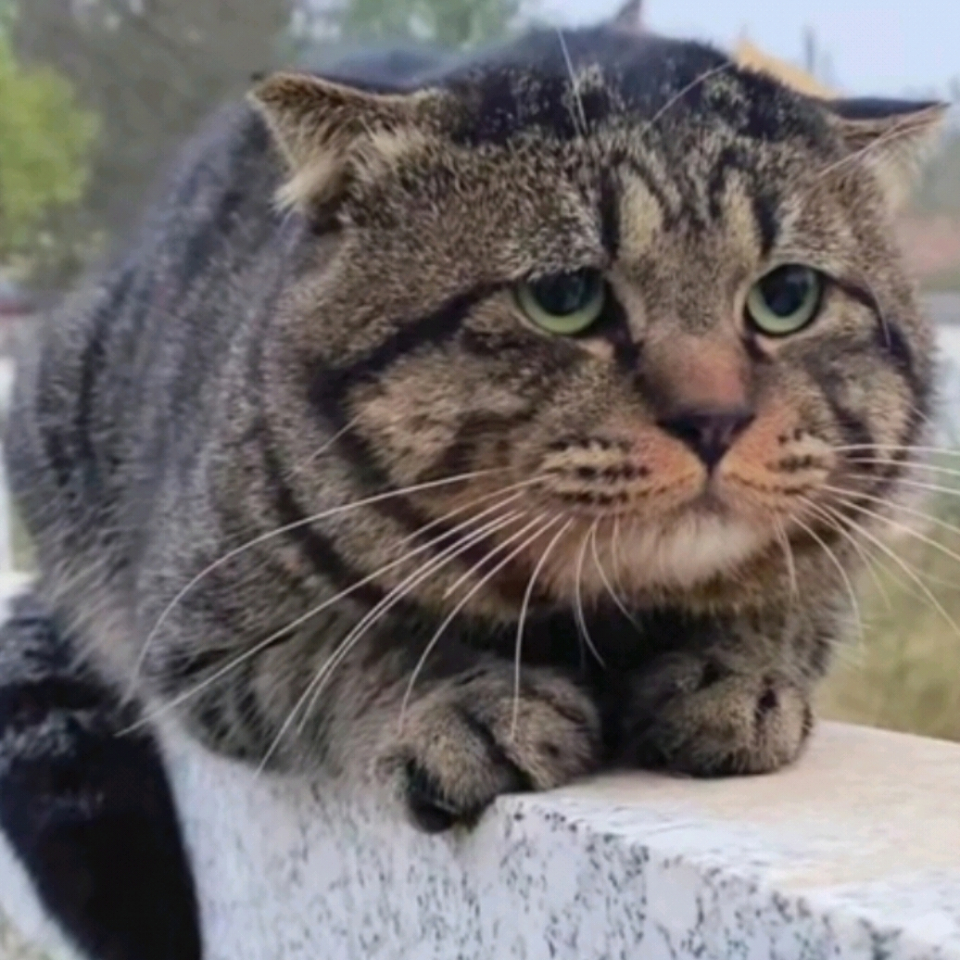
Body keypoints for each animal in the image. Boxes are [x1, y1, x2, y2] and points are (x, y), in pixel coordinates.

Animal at [0, 10, 944, 959]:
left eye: (787, 296)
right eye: (565, 296)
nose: (713, 420)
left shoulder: (830, 568)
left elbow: (778, 608)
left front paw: (729, 672)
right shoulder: (197, 632)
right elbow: (355, 649)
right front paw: (465, 701)